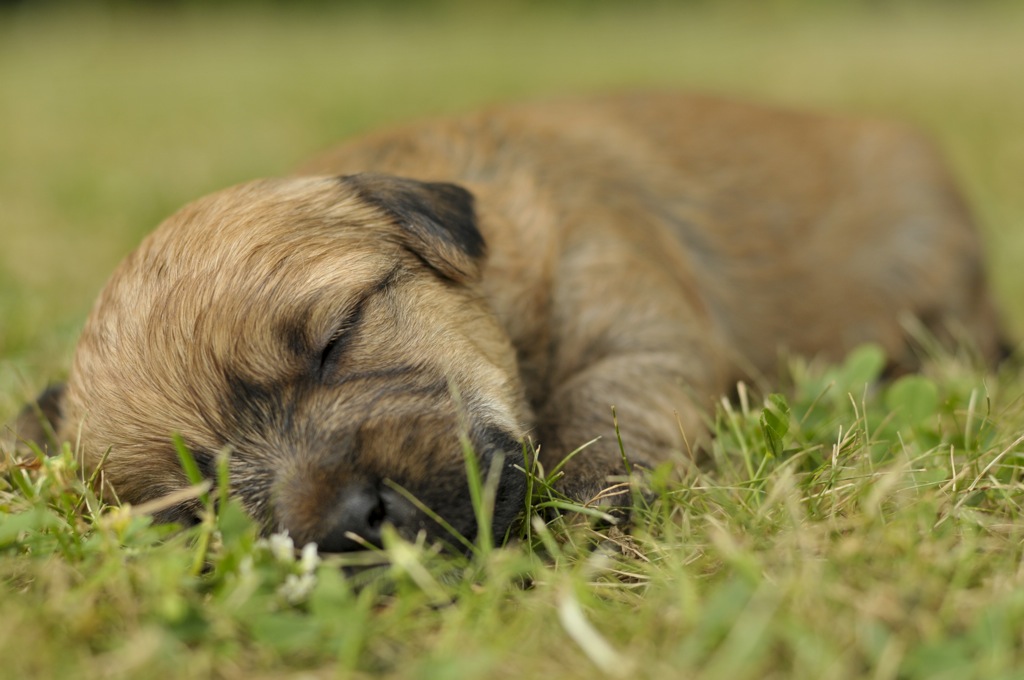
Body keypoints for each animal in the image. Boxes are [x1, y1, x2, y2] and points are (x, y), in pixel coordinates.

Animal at [8, 93, 1003, 548]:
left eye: (337, 337)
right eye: (192, 501)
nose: (350, 522)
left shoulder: (630, 322)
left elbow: (607, 410)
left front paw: (591, 514)